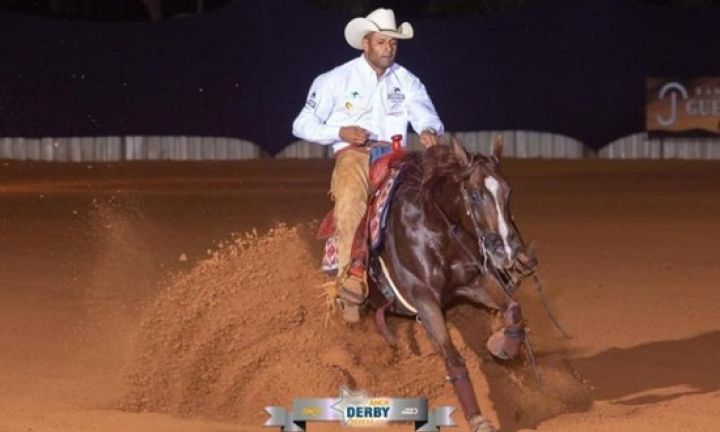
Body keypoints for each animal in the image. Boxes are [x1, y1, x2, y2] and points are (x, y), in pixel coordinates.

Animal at [362, 138, 536, 432]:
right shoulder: (424, 299)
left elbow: (513, 310)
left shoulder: (475, 281)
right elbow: (453, 358)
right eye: (475, 194)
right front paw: (477, 418)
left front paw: (501, 346)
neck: (434, 230)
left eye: (508, 190)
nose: (509, 251)